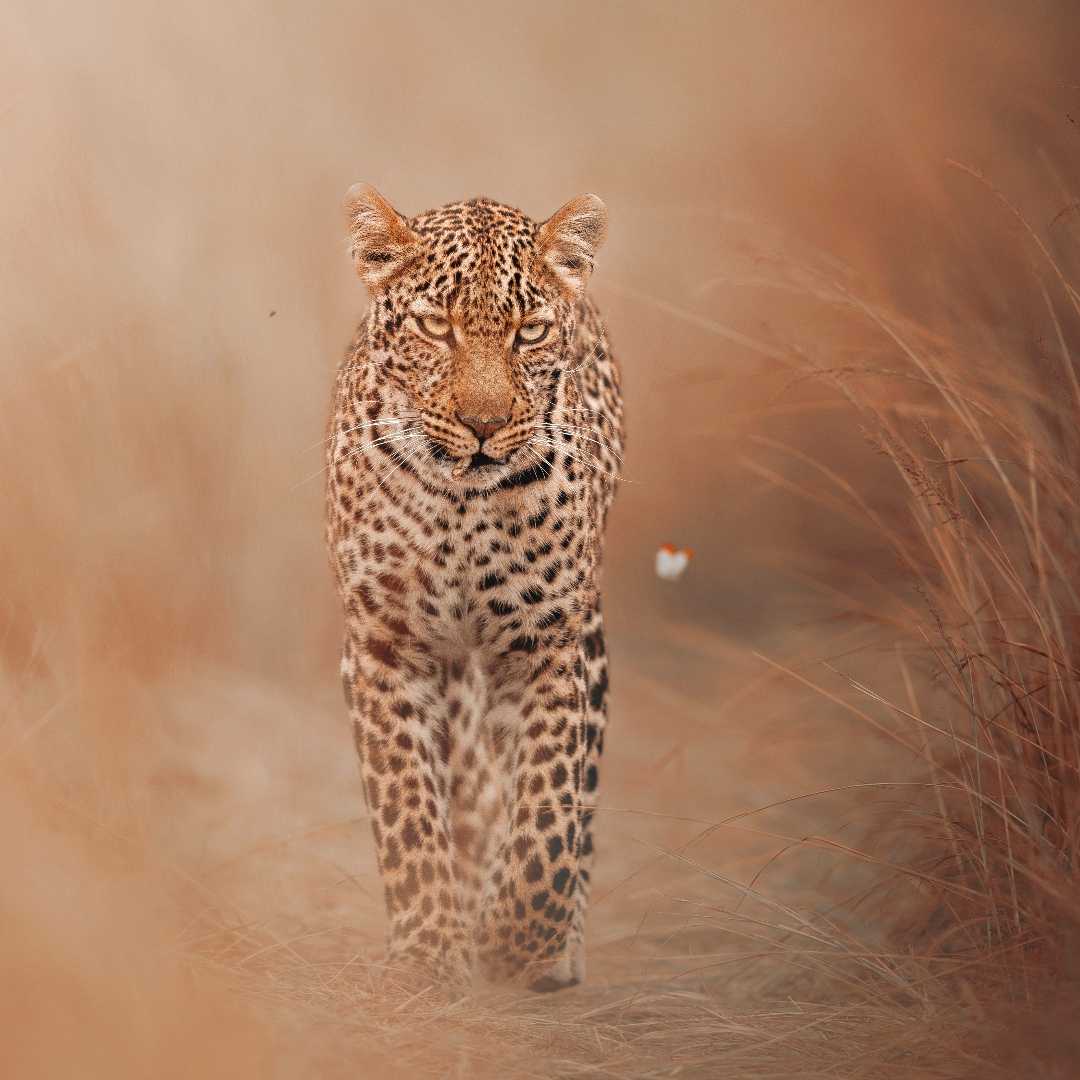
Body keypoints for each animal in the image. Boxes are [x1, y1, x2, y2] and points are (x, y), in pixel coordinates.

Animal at [325, 184, 623, 995]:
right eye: (436, 326)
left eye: (529, 332)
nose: (483, 426)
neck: (463, 504)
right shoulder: (386, 644)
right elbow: (406, 808)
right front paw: (430, 947)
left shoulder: (547, 645)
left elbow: (549, 814)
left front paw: (519, 942)